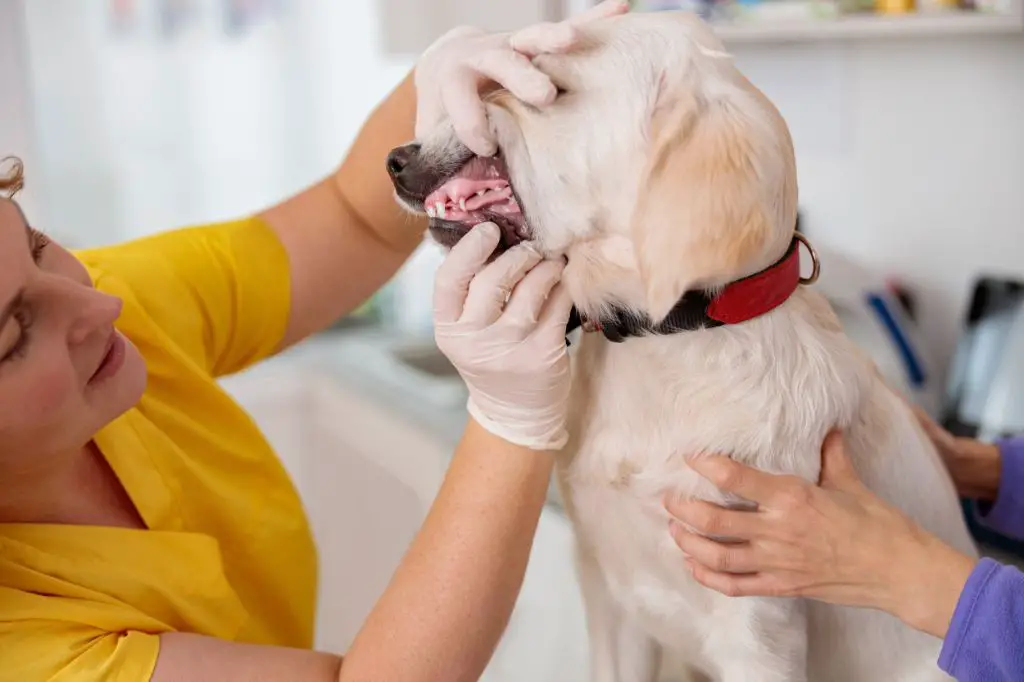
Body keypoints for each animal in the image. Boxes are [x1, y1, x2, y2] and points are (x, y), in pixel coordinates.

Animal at [385, 10, 974, 679]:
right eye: (492, 81)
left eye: (551, 89)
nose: (395, 159)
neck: (672, 335)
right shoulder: (609, 591)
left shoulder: (758, 625)